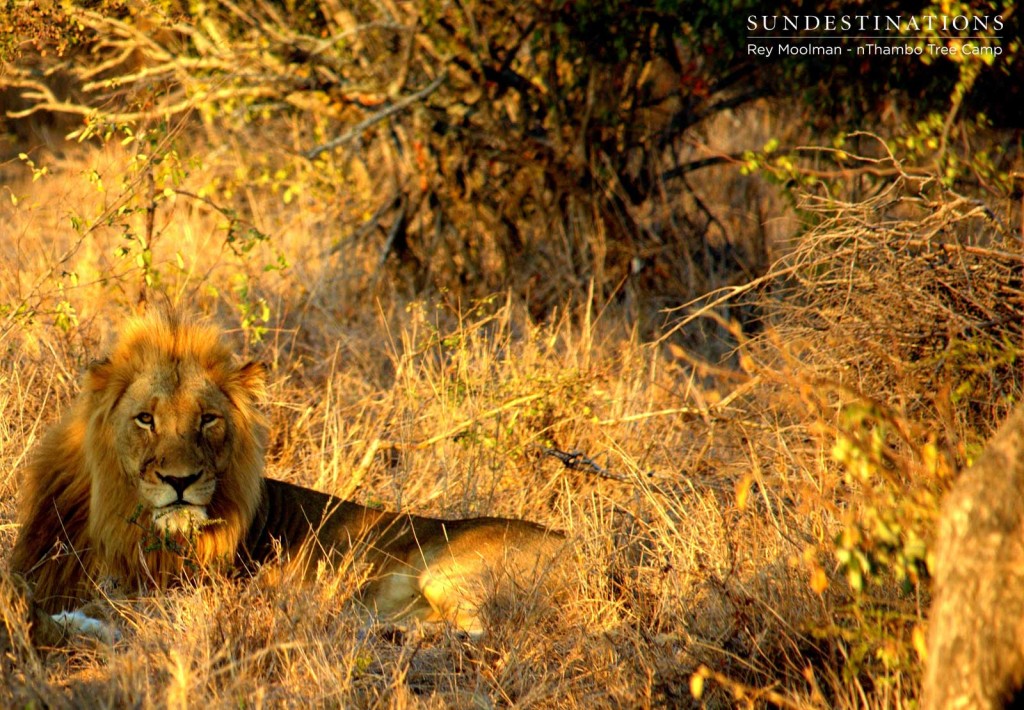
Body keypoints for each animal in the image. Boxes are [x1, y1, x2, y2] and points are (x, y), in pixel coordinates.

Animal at [8, 311, 565, 643]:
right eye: (146, 419)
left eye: (207, 420)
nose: (180, 481)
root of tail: (576, 545)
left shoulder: (207, 594)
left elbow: (137, 615)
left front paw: (68, 621)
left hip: (443, 571)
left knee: (485, 633)